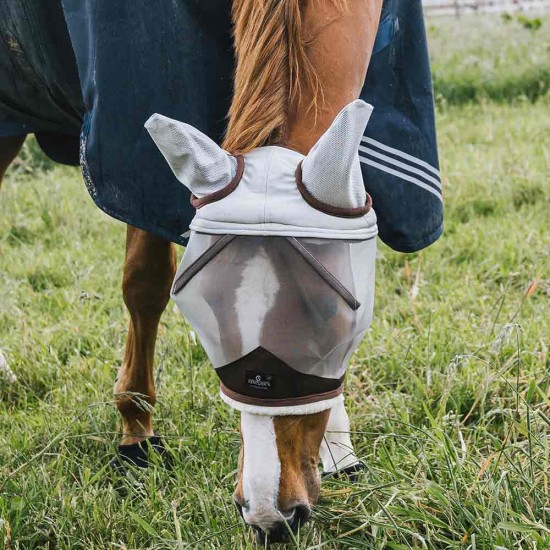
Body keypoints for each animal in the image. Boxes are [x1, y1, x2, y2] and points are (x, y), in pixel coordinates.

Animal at [0, 0, 444, 544]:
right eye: (204, 316)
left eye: (335, 324)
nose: (269, 515)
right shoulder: (137, 156)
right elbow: (145, 284)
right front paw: (136, 432)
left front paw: (341, 452)